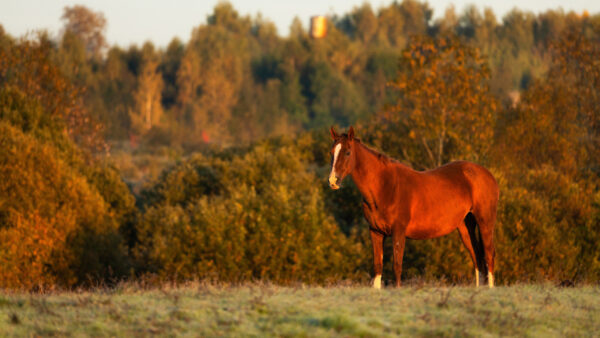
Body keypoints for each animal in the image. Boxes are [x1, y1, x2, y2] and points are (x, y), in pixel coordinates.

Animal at [328, 127, 496, 288]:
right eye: (332, 153)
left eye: (348, 152)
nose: (333, 181)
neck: (385, 186)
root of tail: (487, 174)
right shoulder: (375, 232)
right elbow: (377, 266)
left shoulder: (398, 232)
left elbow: (397, 266)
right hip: (465, 227)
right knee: (477, 258)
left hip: (485, 222)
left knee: (488, 255)